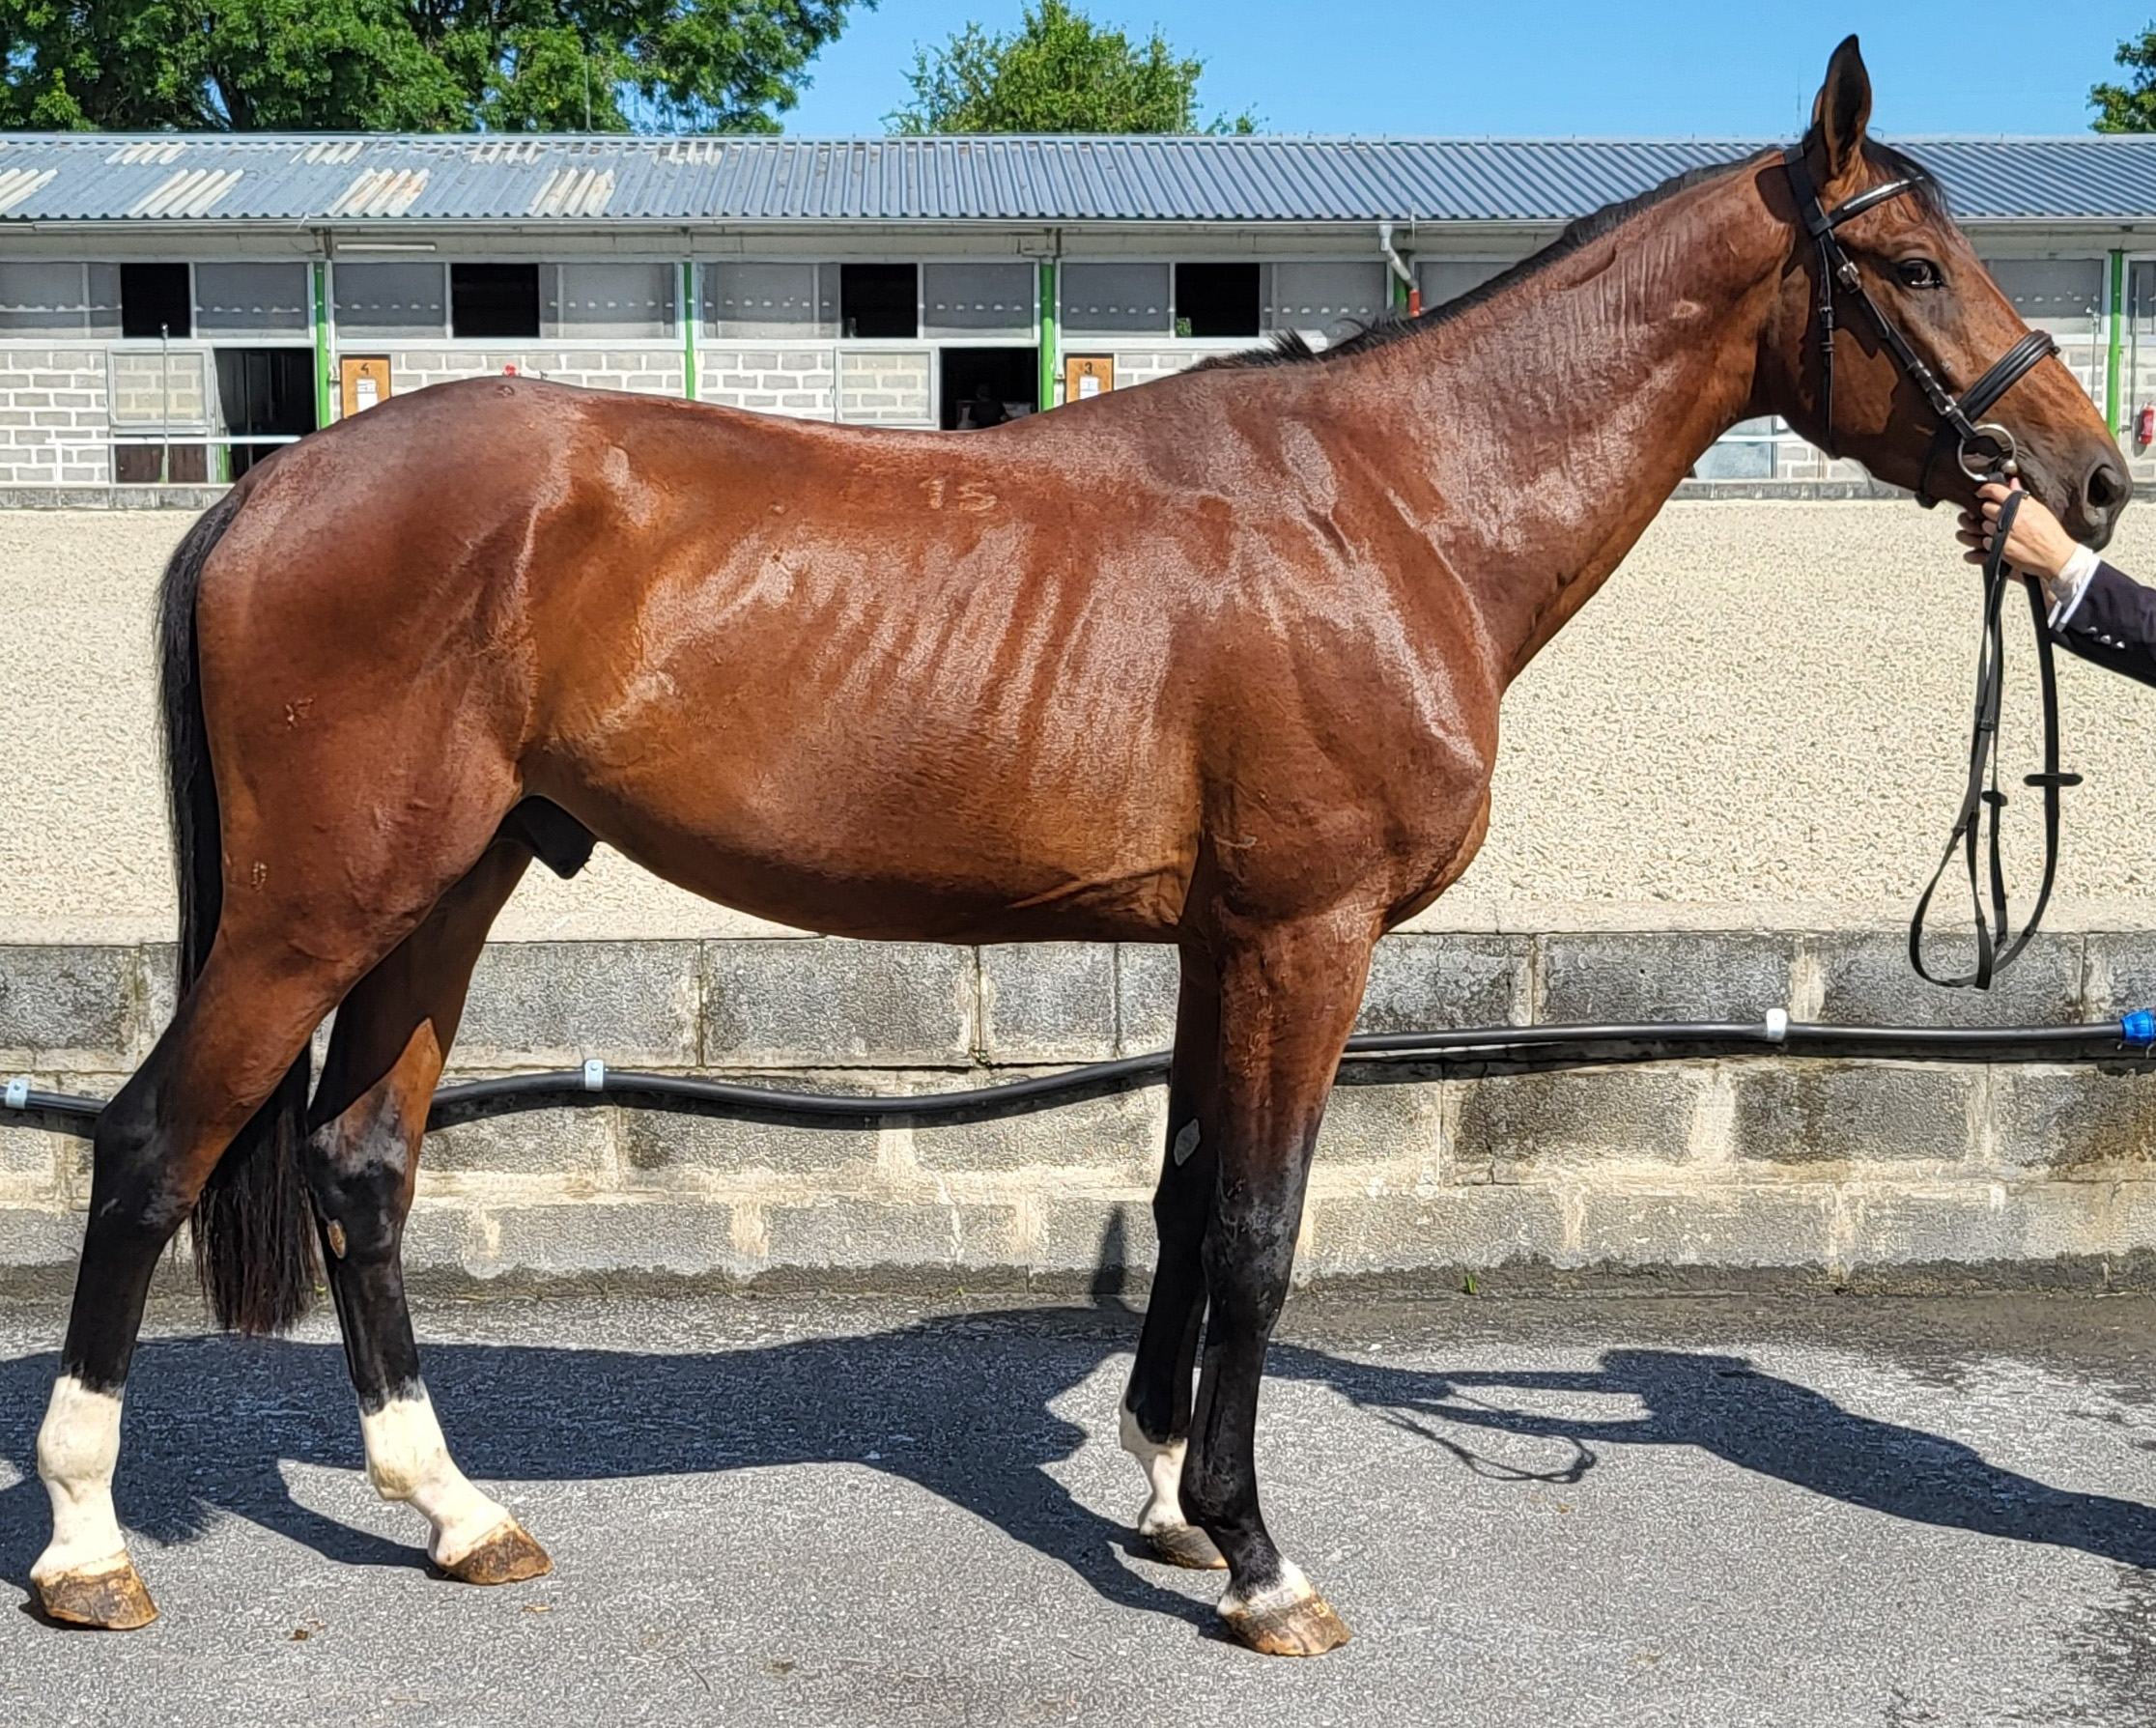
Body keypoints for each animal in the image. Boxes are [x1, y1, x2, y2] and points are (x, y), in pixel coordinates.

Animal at [29, 37, 2126, 1654]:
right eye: (1915, 262)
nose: (2092, 483)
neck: (1393, 511)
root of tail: (276, 488)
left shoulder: (1219, 940)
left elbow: (1190, 1200)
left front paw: (1171, 1497)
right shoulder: (1307, 933)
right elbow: (1267, 1230)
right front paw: (1261, 1563)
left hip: (443, 889)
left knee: (360, 1165)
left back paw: (455, 1510)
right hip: (318, 905)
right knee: (148, 1150)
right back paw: (84, 1544)